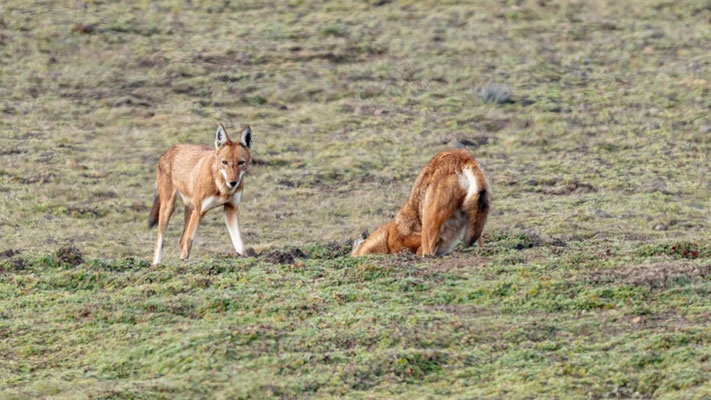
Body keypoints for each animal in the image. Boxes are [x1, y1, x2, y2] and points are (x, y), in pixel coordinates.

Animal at [147, 123, 253, 264]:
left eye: (240, 162)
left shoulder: (230, 210)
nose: (233, 182)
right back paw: (156, 265)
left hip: (189, 209)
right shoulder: (199, 212)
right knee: (160, 242)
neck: (222, 188)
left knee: (181, 240)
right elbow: (188, 242)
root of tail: (169, 149)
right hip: (169, 208)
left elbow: (240, 246)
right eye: (224, 162)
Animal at [352, 149, 490, 256]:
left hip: (429, 220)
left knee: (427, 253)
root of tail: (461, 155)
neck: (386, 238)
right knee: (480, 242)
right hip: (475, 218)